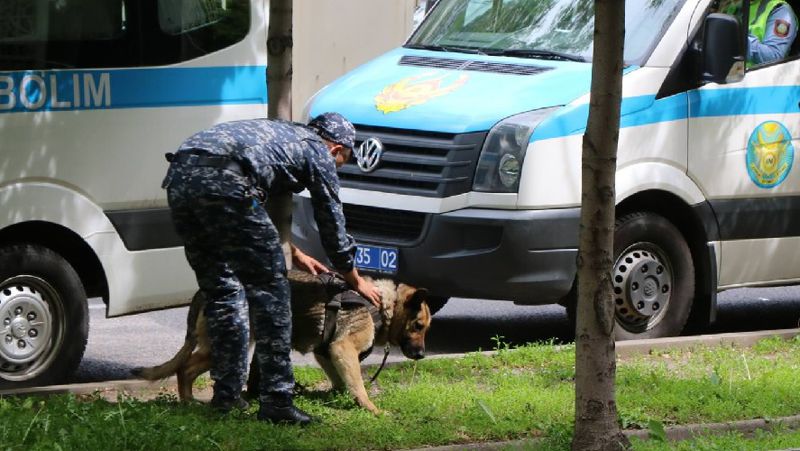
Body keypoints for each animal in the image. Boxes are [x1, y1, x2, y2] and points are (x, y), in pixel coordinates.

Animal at [134, 270, 432, 414]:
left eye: (425, 328)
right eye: (418, 326)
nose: (421, 355)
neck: (382, 305)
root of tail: (204, 291)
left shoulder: (327, 352)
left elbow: (341, 380)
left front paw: (336, 395)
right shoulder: (342, 348)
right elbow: (357, 384)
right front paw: (370, 408)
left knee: (186, 369)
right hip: (233, 344)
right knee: (184, 369)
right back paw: (189, 402)